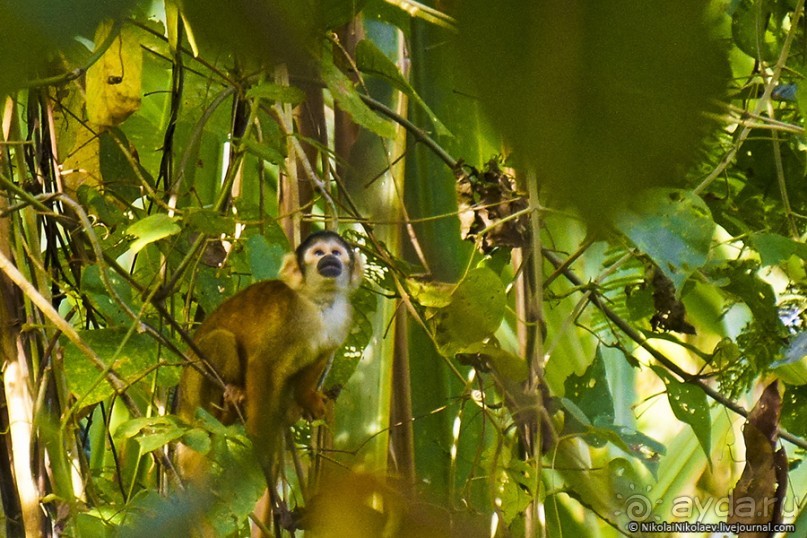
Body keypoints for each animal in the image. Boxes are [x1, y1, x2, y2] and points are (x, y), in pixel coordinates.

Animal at [180, 230, 366, 482]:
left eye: (336, 252)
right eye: (318, 253)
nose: (329, 259)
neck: (318, 302)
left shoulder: (343, 318)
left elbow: (319, 358)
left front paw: (306, 397)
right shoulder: (288, 313)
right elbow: (263, 362)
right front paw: (260, 432)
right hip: (193, 391)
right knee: (221, 339)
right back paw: (229, 404)